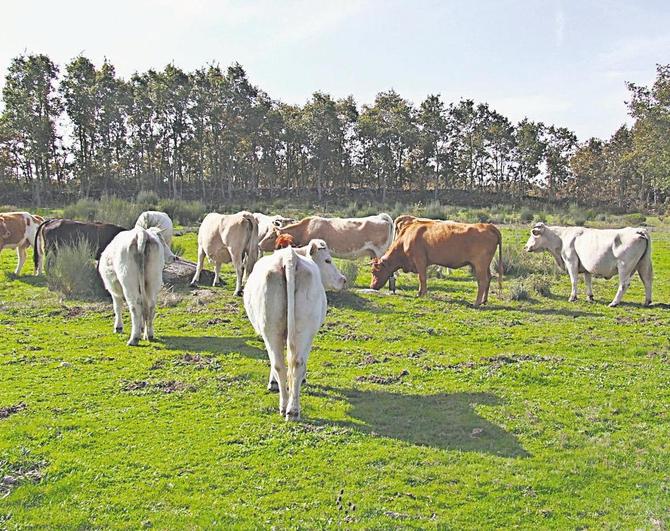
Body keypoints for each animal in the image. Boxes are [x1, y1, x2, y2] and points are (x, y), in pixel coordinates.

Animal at [244, 240, 346, 420]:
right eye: (328, 260)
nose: (343, 279)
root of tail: (289, 257)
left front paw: (273, 383)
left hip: (272, 330)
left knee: (280, 363)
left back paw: (287, 407)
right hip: (301, 330)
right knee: (294, 363)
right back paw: (292, 409)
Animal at [372, 218, 504, 306]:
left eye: (374, 272)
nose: (372, 286)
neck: (406, 239)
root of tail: (487, 226)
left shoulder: (420, 261)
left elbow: (422, 278)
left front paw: (421, 294)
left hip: (480, 265)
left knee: (482, 281)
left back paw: (476, 303)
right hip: (485, 265)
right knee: (489, 278)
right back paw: (484, 300)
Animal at [524, 222, 656, 308]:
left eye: (533, 234)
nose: (525, 247)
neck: (561, 238)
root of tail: (639, 230)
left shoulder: (571, 261)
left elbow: (574, 280)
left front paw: (573, 297)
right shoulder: (586, 266)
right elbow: (588, 281)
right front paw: (590, 297)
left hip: (624, 267)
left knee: (624, 284)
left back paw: (614, 303)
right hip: (643, 264)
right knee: (647, 281)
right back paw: (647, 301)